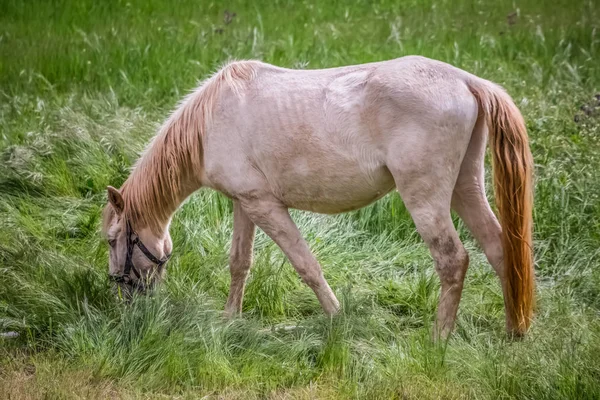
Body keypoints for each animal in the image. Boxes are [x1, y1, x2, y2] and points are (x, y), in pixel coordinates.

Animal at [103, 55, 536, 338]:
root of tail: (465, 81)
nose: (122, 301)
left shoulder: (265, 206)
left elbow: (305, 265)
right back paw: (513, 332)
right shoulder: (245, 204)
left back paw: (438, 340)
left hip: (425, 199)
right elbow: (240, 263)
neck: (213, 120)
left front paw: (336, 318)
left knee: (453, 260)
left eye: (111, 240)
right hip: (465, 187)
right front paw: (230, 320)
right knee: (501, 250)